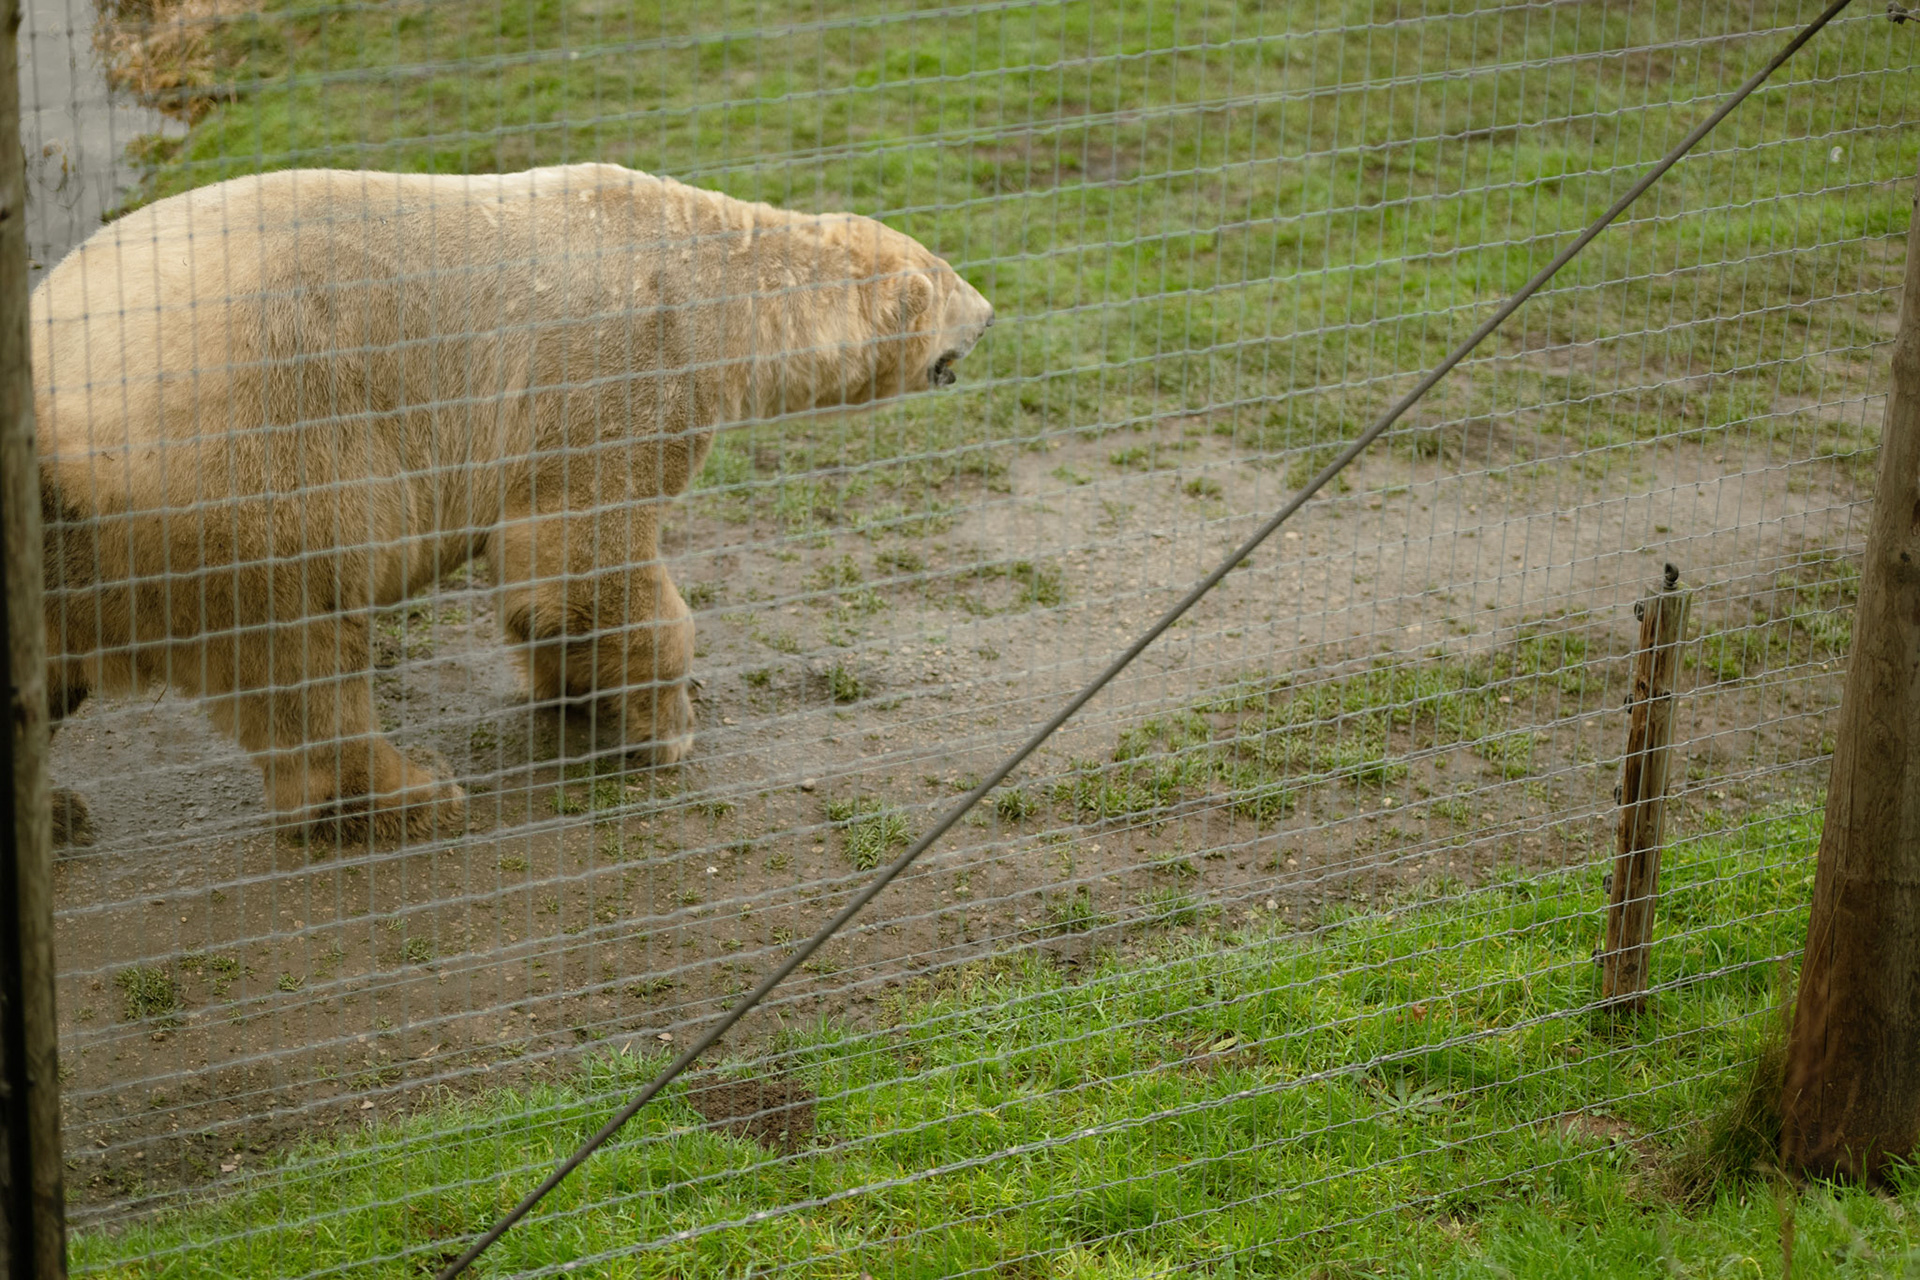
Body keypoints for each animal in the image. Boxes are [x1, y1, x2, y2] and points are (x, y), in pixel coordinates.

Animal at [32, 163, 993, 843]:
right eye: (949, 277)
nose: (990, 313)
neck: (710, 268)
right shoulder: (622, 368)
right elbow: (587, 554)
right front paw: (666, 726)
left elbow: (548, 588)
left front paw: (581, 693)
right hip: (249, 461)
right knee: (301, 653)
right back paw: (408, 794)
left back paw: (59, 809)